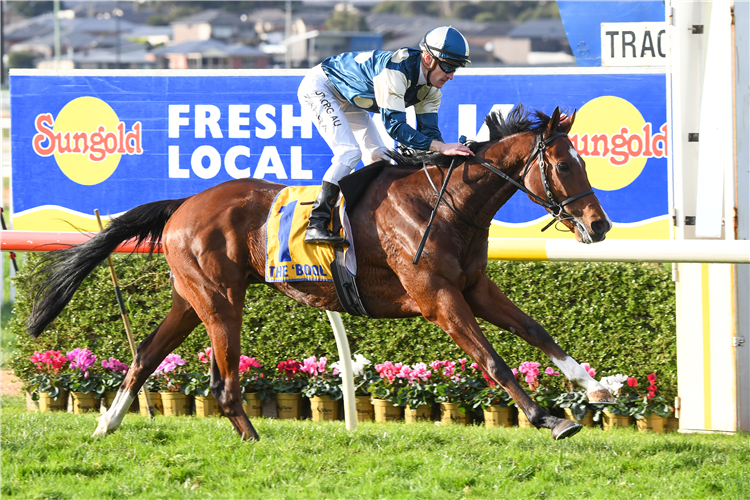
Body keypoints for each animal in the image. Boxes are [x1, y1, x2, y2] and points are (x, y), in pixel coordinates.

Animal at [27, 105, 616, 442]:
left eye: (584, 161)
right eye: (565, 165)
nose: (600, 225)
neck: (443, 202)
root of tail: (184, 204)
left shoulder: (474, 287)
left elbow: (536, 330)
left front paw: (594, 387)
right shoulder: (436, 297)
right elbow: (492, 359)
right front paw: (549, 419)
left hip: (190, 298)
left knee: (148, 353)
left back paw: (107, 423)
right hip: (219, 299)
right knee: (223, 382)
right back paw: (252, 439)